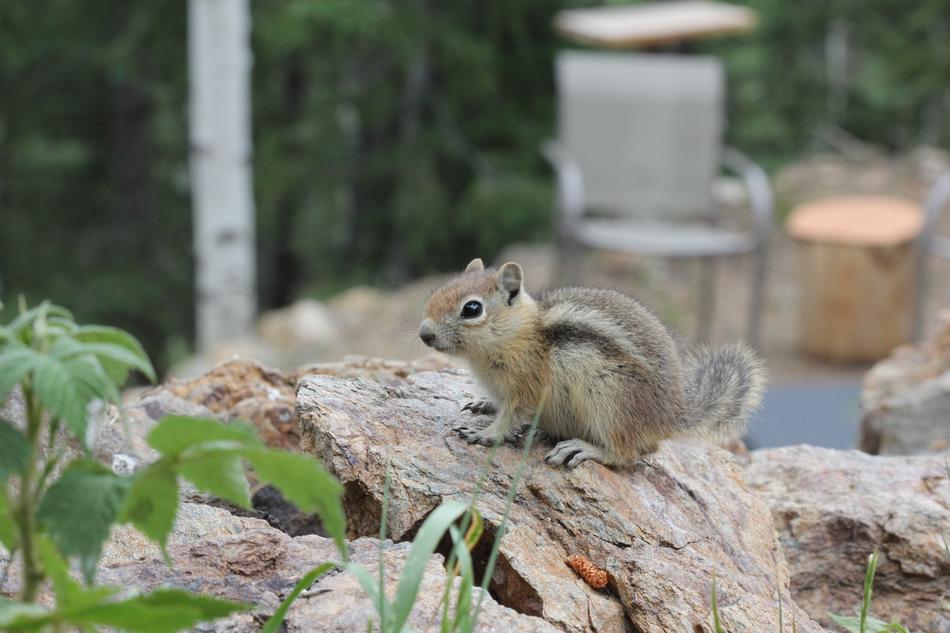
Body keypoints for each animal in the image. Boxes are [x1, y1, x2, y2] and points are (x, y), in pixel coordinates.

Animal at [417, 257, 766, 468]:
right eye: (437, 292)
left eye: (472, 309)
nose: (424, 334)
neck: (520, 333)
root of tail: (671, 416)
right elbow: (497, 404)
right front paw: (483, 404)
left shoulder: (528, 386)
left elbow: (512, 416)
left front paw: (485, 434)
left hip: (610, 398)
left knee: (627, 454)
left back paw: (584, 449)